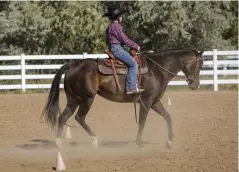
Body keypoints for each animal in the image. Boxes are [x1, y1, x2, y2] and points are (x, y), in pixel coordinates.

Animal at [40, 48, 204, 148]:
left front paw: (170, 141)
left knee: (63, 117)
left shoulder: (155, 101)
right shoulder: (146, 100)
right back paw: (95, 140)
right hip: (87, 99)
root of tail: (72, 65)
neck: (157, 69)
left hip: (74, 100)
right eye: (199, 64)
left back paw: (59, 143)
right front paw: (139, 143)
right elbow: (142, 121)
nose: (196, 84)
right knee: (79, 117)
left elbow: (167, 117)